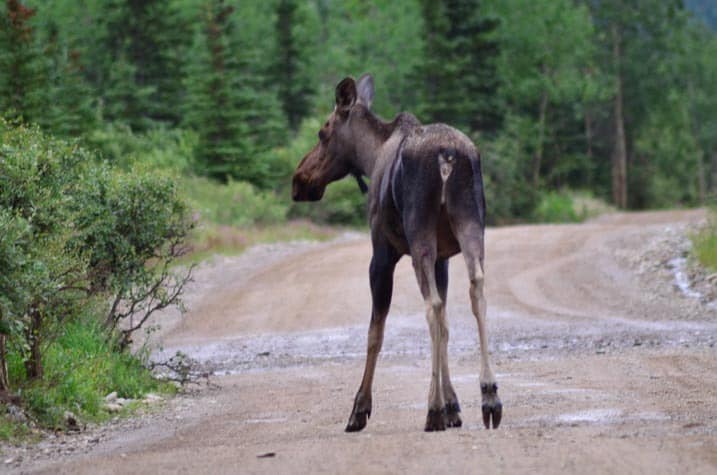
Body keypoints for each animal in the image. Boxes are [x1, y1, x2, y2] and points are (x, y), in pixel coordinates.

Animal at [290, 73, 498, 432]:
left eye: (322, 132)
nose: (299, 180)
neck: (371, 155)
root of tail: (447, 156)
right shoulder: (444, 258)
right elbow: (447, 326)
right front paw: (454, 405)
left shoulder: (382, 254)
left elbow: (376, 331)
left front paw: (360, 408)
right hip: (471, 226)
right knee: (476, 292)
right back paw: (489, 396)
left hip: (419, 235)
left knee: (432, 306)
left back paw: (432, 409)